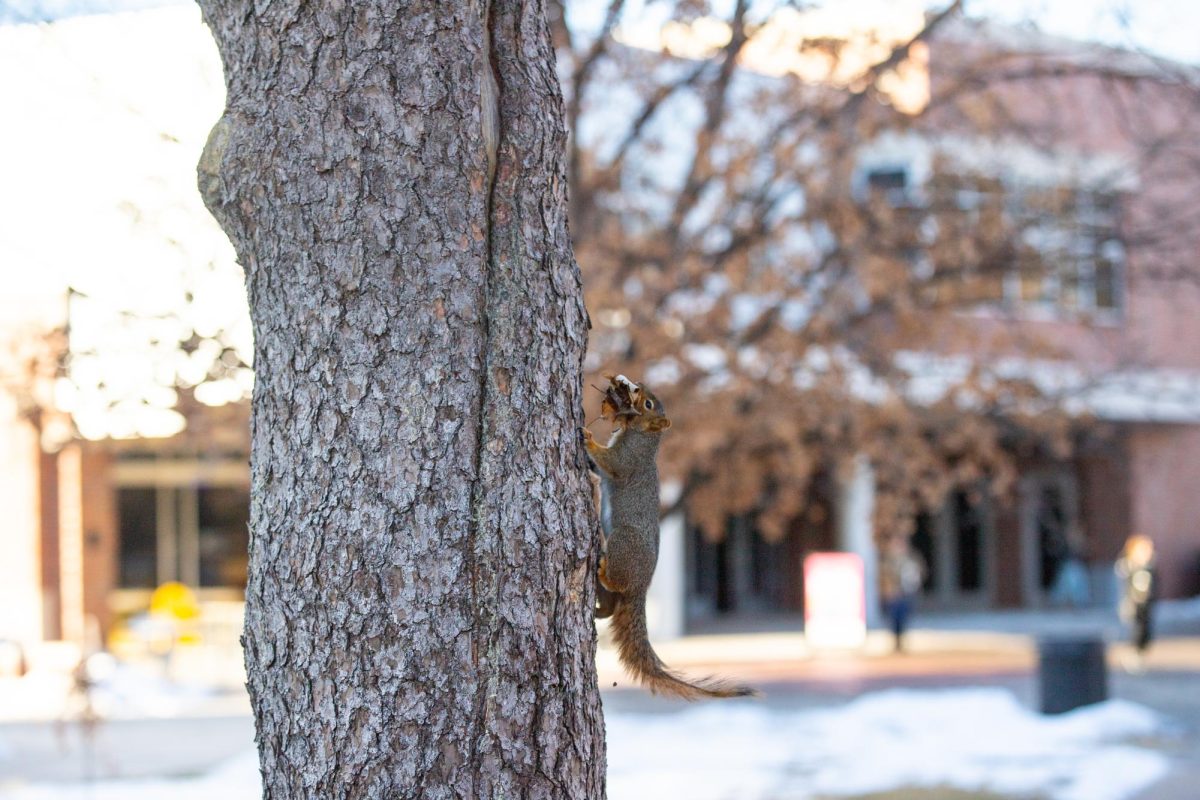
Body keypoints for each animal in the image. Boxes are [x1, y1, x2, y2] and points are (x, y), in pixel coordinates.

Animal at [583, 376, 758, 700]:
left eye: (649, 404)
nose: (636, 385)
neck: (642, 436)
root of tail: (642, 587)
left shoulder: (629, 459)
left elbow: (611, 464)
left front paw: (587, 437)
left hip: (624, 542)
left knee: (617, 581)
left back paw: (604, 573)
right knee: (613, 605)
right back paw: (601, 607)